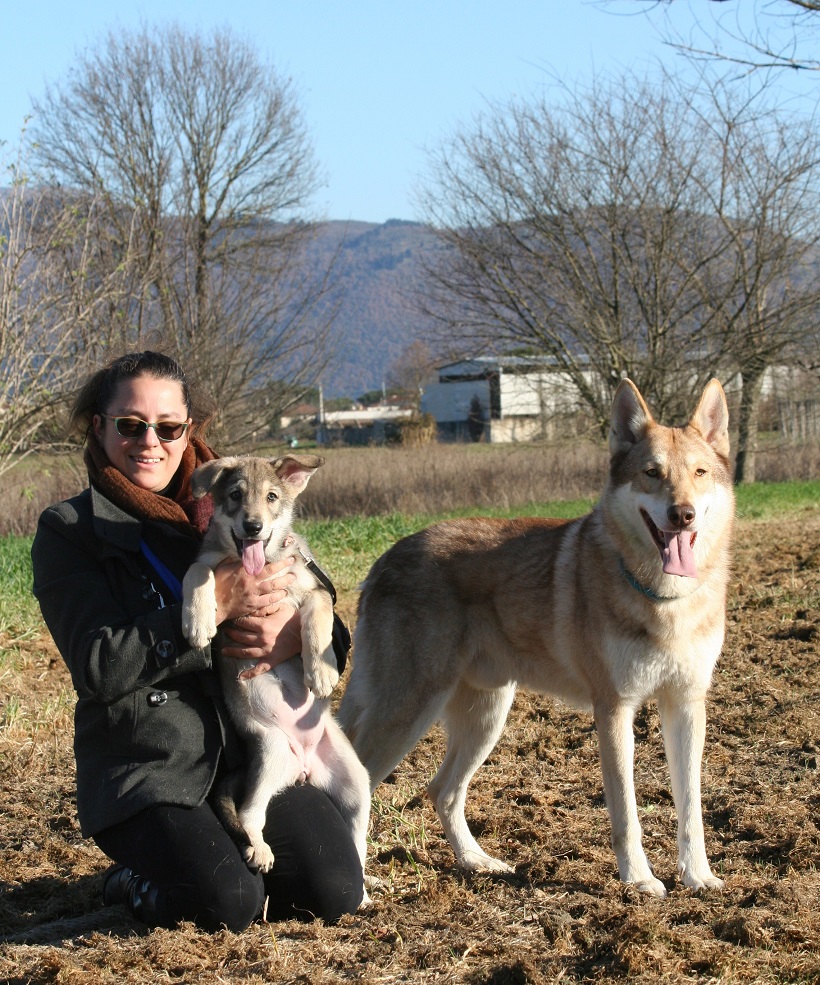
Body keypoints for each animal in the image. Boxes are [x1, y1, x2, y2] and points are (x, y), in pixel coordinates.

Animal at [184, 458, 370, 880]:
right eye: (235, 495)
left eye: (272, 497)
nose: (253, 526)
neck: (261, 565)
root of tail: (304, 768)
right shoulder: (205, 563)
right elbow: (196, 574)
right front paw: (197, 622)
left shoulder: (313, 588)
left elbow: (317, 619)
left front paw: (321, 672)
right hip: (271, 751)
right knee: (249, 813)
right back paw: (260, 850)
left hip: (357, 783)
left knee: (356, 843)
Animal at [336, 378, 732, 900]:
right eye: (652, 473)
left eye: (700, 473)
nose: (682, 515)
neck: (665, 598)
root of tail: (382, 560)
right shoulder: (614, 709)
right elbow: (626, 814)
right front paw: (639, 880)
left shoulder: (686, 704)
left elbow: (691, 808)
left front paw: (699, 876)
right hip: (410, 712)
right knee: (357, 786)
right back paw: (360, 892)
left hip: (486, 716)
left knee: (441, 791)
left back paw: (478, 863)